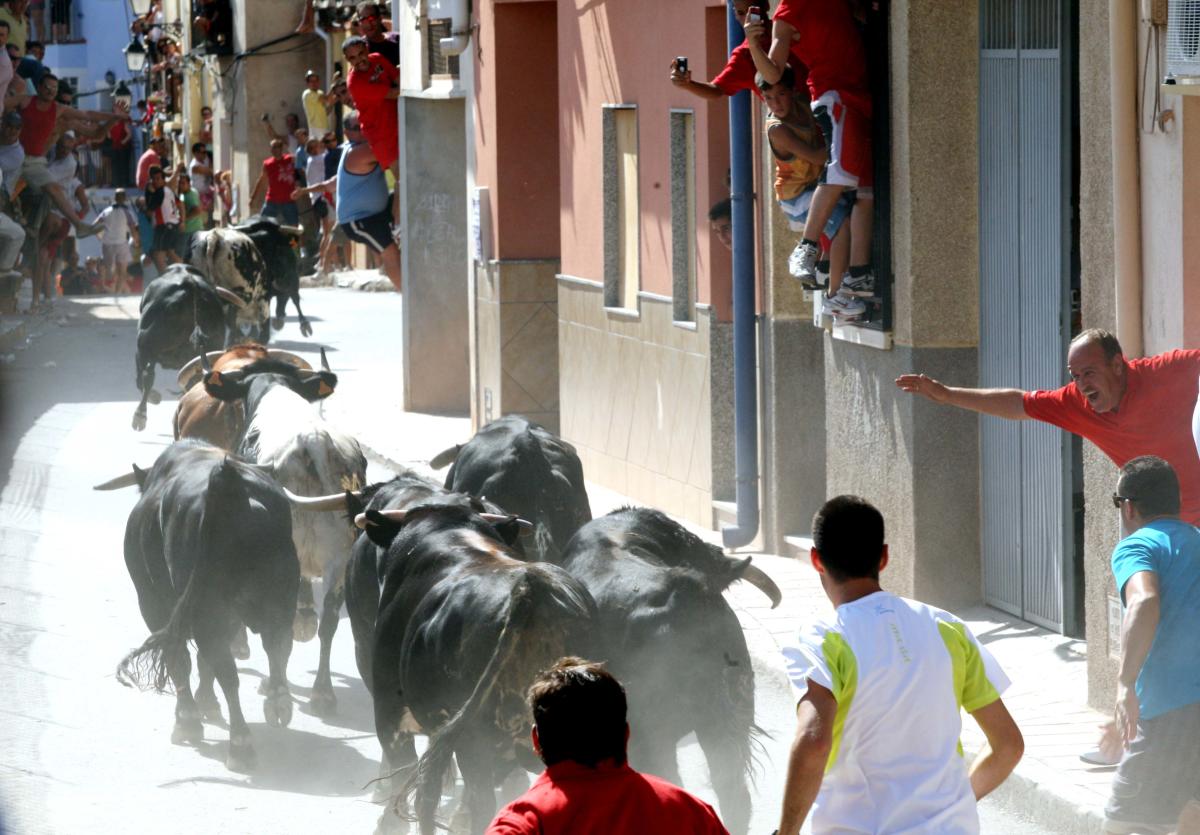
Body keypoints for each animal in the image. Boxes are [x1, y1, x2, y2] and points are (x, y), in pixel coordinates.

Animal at [94, 441, 300, 772]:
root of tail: (227, 483)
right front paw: (206, 704)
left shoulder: (153, 605)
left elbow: (181, 660)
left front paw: (189, 718)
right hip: (279, 597)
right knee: (276, 645)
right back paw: (278, 703)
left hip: (200, 610)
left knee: (223, 669)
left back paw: (239, 744)